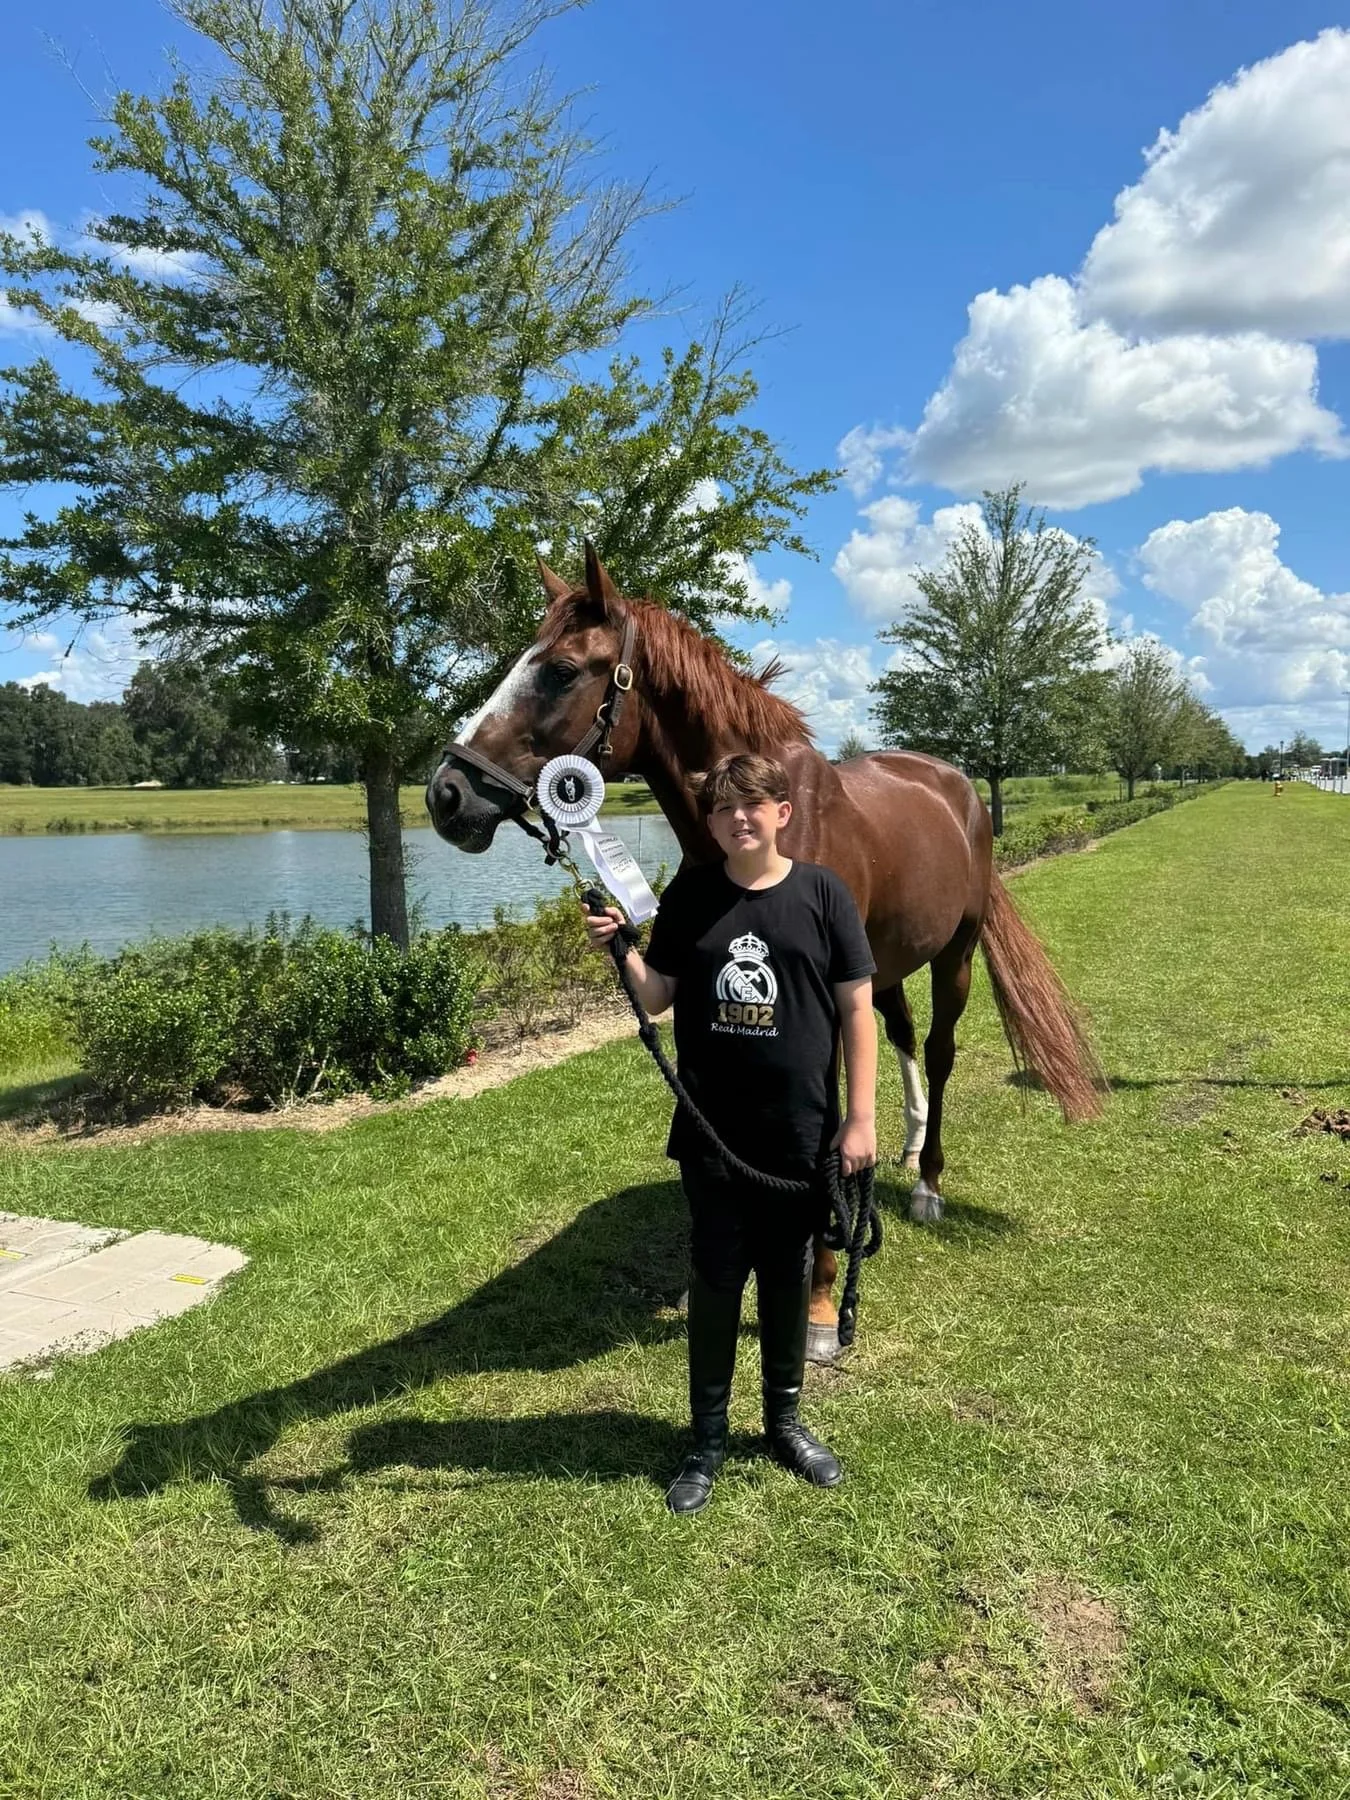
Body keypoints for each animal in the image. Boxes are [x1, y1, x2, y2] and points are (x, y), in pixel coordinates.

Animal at [427, 544, 1102, 1353]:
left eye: (559, 670)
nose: (446, 796)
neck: (762, 825)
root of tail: (957, 788)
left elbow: (828, 1133)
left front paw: (820, 1302)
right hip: (887, 966)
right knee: (904, 1039)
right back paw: (907, 1145)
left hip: (956, 955)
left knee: (938, 1052)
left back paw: (928, 1184)